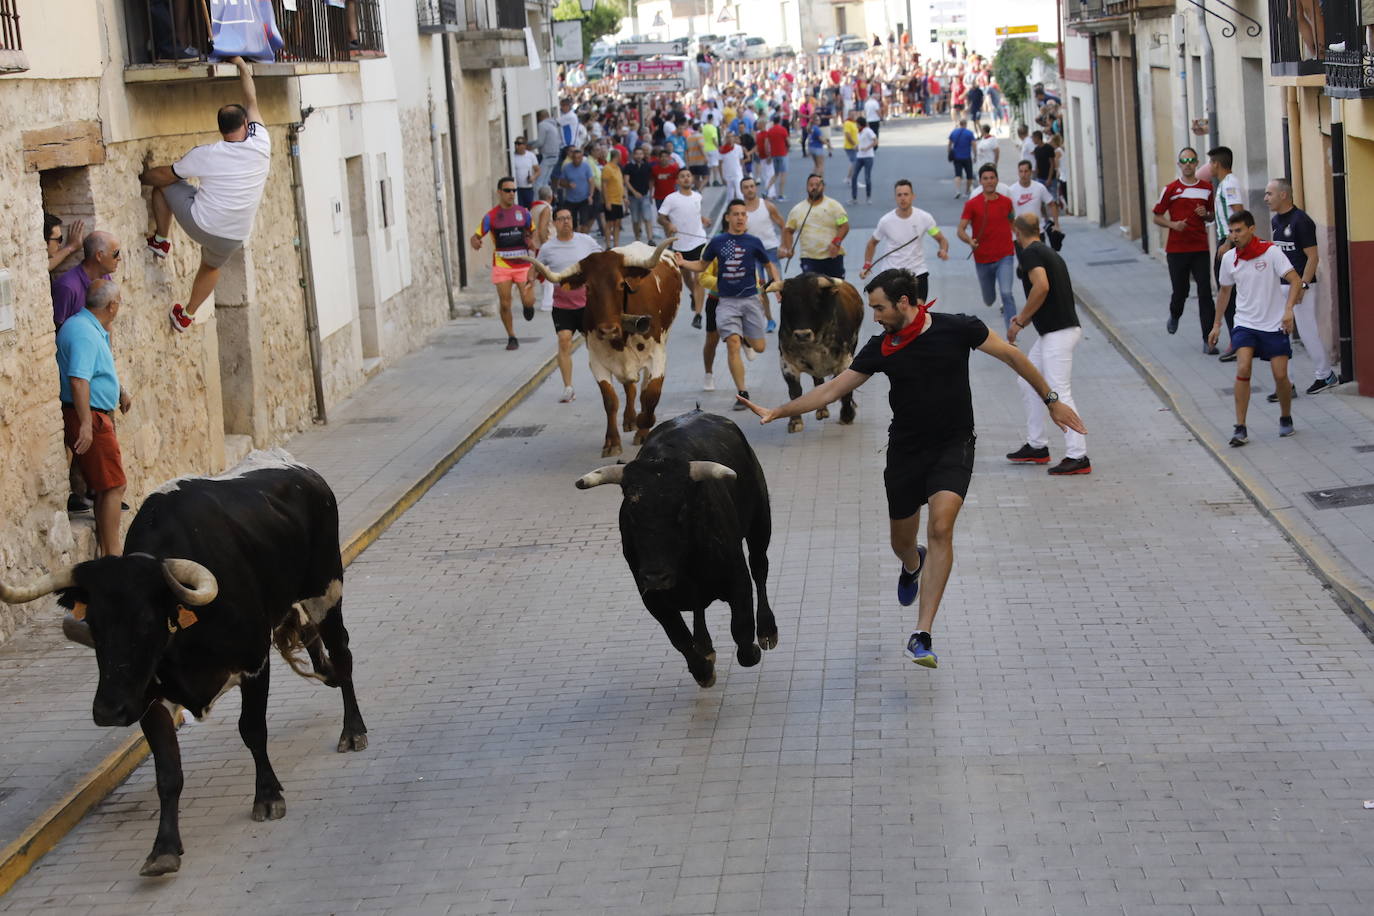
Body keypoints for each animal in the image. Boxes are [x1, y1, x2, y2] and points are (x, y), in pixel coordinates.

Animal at [0, 455, 368, 873]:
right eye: (93, 623)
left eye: (147, 621)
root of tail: (299, 468)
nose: (108, 710)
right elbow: (167, 771)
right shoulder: (147, 697)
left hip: (327, 590)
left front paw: (267, 796)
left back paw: (352, 730)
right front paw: (163, 848)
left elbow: (253, 730)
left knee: (343, 656)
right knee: (313, 643)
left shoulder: (254, 663)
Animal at [522, 238, 678, 455]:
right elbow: (610, 400)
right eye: (587, 287)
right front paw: (612, 442)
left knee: (644, 387)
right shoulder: (597, 361)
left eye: (621, 284)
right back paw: (629, 419)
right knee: (630, 387)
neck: (621, 337)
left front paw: (644, 424)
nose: (607, 329)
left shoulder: (657, 355)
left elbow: (651, 395)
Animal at [574, 409, 780, 686]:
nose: (655, 577)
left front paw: (752, 650)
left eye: (682, 510)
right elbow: (680, 638)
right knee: (698, 608)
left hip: (760, 523)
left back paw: (767, 630)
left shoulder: (738, 580)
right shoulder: (653, 599)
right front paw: (703, 671)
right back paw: (705, 646)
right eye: (631, 513)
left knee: (760, 569)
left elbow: (742, 631)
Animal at [769, 271, 862, 433]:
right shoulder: (787, 362)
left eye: (815, 303)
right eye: (789, 305)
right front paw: (795, 421)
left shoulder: (845, 361)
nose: (802, 335)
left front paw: (846, 416)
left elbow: (846, 389)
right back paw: (822, 410)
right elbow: (795, 391)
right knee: (819, 383)